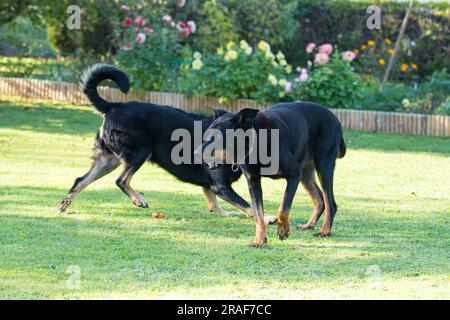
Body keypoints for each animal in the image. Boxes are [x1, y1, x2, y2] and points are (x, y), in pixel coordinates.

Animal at [59, 65, 268, 220]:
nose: (197, 153)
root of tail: (113, 105)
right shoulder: (220, 185)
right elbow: (248, 205)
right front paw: (267, 219)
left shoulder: (211, 185)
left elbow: (213, 203)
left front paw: (224, 213)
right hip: (141, 152)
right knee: (121, 180)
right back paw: (138, 200)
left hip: (108, 160)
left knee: (80, 180)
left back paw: (65, 204)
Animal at [195, 102, 346, 248]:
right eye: (206, 136)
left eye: (218, 137)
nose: (195, 153)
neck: (257, 142)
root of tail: (335, 118)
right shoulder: (253, 182)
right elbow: (258, 214)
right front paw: (259, 240)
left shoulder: (294, 174)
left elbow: (283, 207)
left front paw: (283, 230)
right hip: (306, 172)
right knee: (320, 199)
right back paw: (309, 225)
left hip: (323, 164)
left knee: (330, 202)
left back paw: (325, 231)